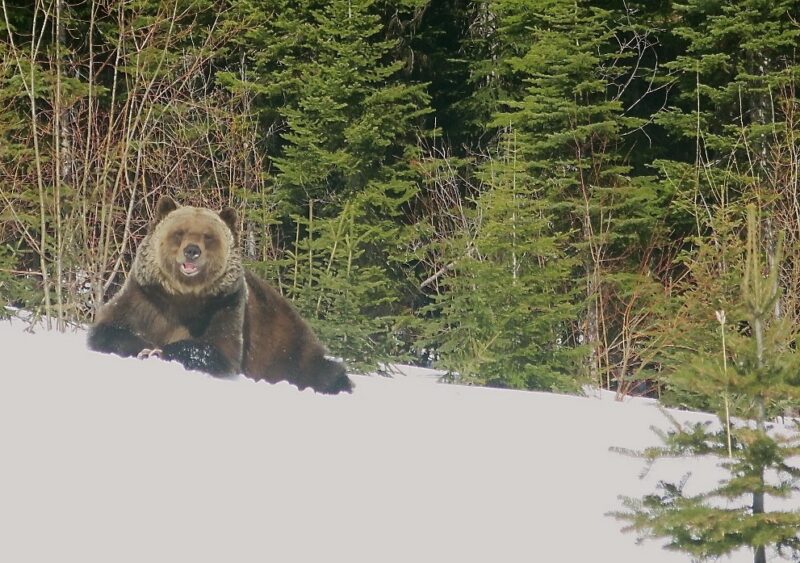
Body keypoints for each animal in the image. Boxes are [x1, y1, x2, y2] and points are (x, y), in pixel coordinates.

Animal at [87, 195, 353, 395]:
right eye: (179, 232)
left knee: (320, 368)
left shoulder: (224, 305)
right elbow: (110, 328)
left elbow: (217, 350)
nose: (192, 251)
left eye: (208, 236)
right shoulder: (145, 298)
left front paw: (163, 351)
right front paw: (145, 347)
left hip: (289, 342)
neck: (183, 295)